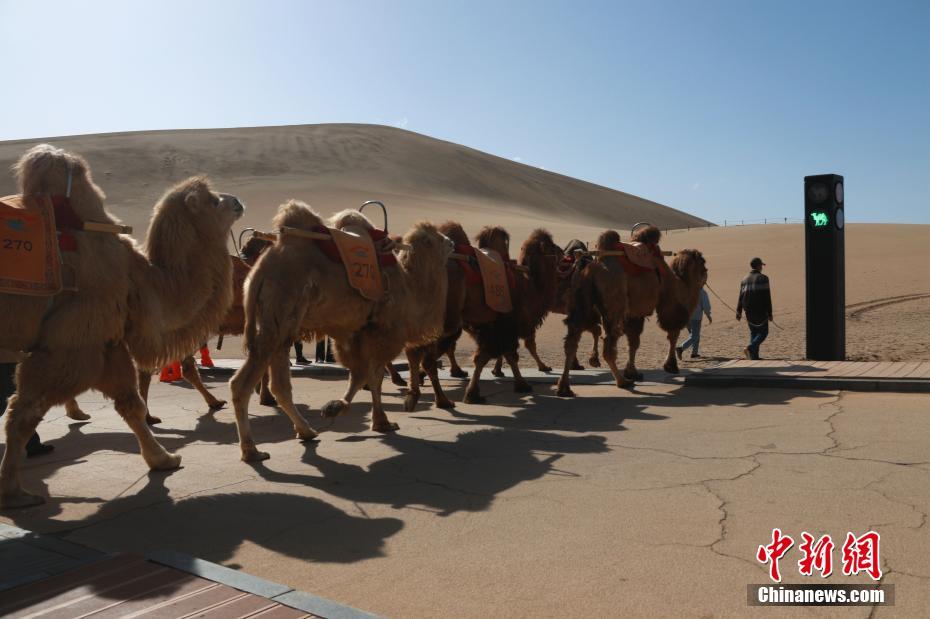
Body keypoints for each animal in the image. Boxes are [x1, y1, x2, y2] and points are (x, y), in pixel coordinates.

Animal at [0, 145, 243, 508]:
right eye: (214, 201)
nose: (238, 201)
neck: (138, 279)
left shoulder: (107, 342)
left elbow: (131, 403)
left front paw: (163, 459)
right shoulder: (69, 345)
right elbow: (22, 413)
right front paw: (14, 492)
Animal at [228, 201, 454, 462]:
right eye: (436, 238)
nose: (452, 242)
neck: (409, 287)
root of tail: (258, 272)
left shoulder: (353, 332)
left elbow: (363, 376)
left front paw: (355, 413)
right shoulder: (383, 331)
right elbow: (372, 375)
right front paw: (368, 417)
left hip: (278, 323)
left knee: (279, 384)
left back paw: (305, 431)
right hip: (280, 315)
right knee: (243, 384)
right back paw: (252, 451)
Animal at [556, 230, 636, 400]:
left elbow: (595, 330)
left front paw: (592, 360)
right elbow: (599, 332)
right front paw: (593, 360)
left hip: (581, 306)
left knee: (571, 341)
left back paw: (564, 387)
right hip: (609, 308)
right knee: (609, 342)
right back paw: (622, 381)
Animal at [620, 225, 708, 378]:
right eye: (703, 261)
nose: (706, 272)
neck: (680, 284)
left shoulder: (634, 313)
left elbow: (633, 340)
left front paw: (631, 372)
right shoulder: (671, 310)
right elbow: (673, 335)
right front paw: (671, 366)